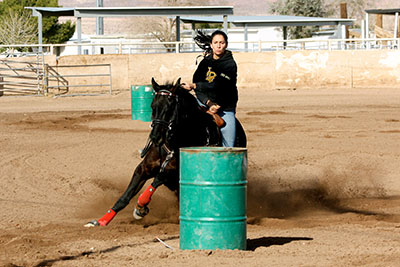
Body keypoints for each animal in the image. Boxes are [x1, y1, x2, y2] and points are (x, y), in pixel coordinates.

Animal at [85, 78, 245, 227]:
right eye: (152, 106)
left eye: (170, 107)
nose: (155, 137)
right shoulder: (142, 169)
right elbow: (125, 197)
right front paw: (101, 221)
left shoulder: (169, 173)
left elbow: (155, 182)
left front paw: (140, 208)